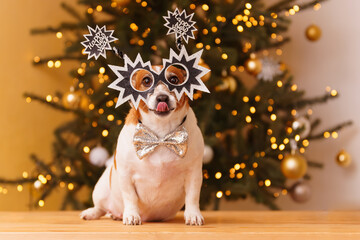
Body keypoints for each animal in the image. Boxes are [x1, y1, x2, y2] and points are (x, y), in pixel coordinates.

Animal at [82, 64, 205, 225]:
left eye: (174, 79)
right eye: (146, 81)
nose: (162, 97)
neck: (160, 133)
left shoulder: (194, 174)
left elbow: (192, 197)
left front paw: (193, 215)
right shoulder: (126, 175)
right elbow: (130, 197)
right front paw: (132, 215)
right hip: (101, 189)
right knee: (101, 207)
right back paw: (93, 213)